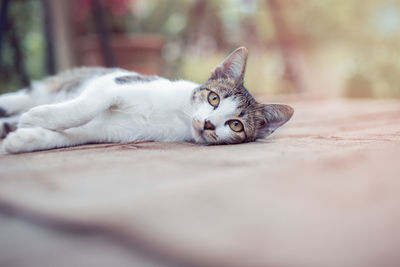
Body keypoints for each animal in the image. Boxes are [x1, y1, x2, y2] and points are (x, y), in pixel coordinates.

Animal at [0, 47, 294, 154]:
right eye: (214, 98)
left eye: (235, 125)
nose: (209, 124)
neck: (177, 117)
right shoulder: (114, 83)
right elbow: (86, 107)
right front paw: (38, 117)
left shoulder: (112, 130)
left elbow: (76, 134)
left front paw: (24, 138)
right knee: (22, 97)